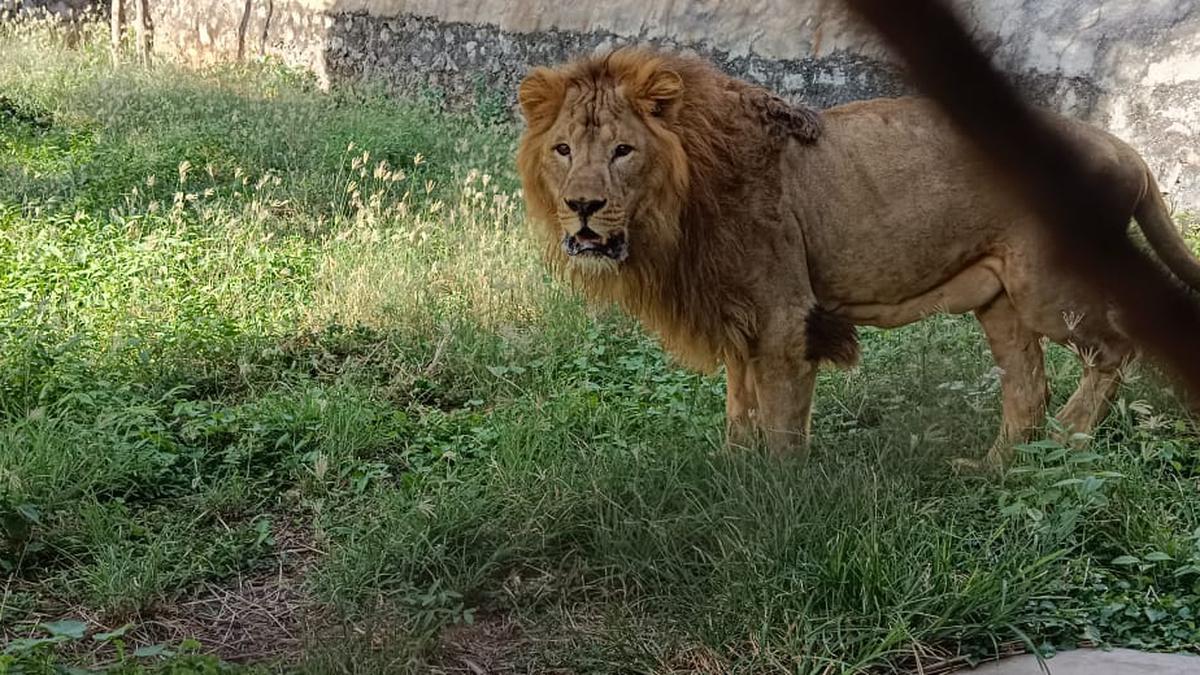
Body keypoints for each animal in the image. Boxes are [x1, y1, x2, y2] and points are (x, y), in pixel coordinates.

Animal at [513, 48, 1200, 468]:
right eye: (564, 150)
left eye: (623, 151)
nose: (582, 207)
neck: (677, 202)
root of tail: (1129, 149)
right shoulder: (736, 316)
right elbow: (739, 411)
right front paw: (733, 475)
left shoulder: (784, 315)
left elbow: (781, 419)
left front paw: (778, 495)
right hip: (1000, 298)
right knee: (1028, 388)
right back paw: (994, 470)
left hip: (1048, 290)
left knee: (1115, 351)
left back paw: (1068, 444)